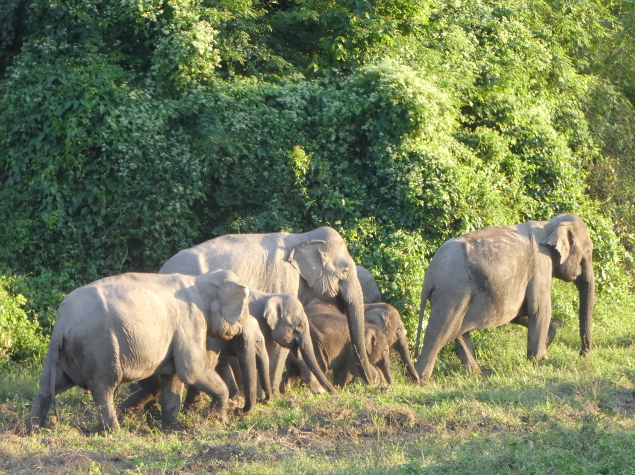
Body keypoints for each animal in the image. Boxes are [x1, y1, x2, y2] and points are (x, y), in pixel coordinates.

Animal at [26, 270, 251, 434]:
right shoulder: (190, 322)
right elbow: (191, 371)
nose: (239, 411)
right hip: (99, 347)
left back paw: (33, 430)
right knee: (103, 387)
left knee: (49, 387)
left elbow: (173, 377)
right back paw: (115, 432)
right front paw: (220, 421)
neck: (201, 280)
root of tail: (62, 321)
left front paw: (173, 429)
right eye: (245, 310)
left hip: (64, 354)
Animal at [159, 229, 376, 392]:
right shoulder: (285, 280)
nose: (372, 383)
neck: (302, 238)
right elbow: (280, 343)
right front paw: (274, 395)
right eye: (345, 271)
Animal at [414, 214, 592, 382]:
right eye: (589, 252)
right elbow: (540, 311)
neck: (549, 224)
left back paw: (477, 374)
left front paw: (543, 355)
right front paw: (538, 364)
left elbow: (521, 314)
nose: (583, 353)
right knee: (439, 332)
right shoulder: (541, 265)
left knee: (458, 330)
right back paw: (420, 379)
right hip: (452, 291)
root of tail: (429, 275)